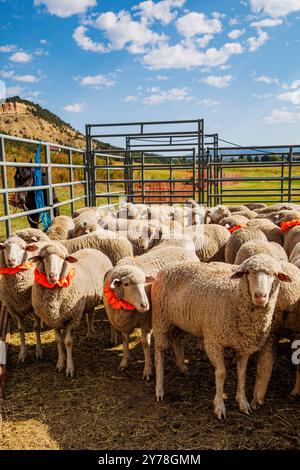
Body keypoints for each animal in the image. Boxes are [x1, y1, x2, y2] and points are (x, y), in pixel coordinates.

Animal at [31, 244, 112, 376]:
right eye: (42, 257)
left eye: (63, 258)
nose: (53, 275)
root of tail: (91, 249)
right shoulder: (54, 320)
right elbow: (59, 341)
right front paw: (60, 364)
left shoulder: (72, 319)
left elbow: (68, 342)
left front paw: (69, 368)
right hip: (89, 300)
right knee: (90, 314)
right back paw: (89, 333)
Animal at [103, 246, 199, 378]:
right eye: (126, 284)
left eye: (145, 282)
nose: (145, 305)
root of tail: (182, 249)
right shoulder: (125, 323)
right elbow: (125, 340)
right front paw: (124, 362)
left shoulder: (146, 323)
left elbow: (145, 344)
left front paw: (147, 369)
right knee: (176, 336)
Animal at [151, 253, 292, 418]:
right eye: (248, 272)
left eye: (274, 274)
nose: (260, 296)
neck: (234, 300)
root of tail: (166, 268)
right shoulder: (213, 342)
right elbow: (221, 373)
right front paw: (219, 406)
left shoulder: (243, 346)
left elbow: (241, 373)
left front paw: (243, 402)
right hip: (160, 319)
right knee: (159, 352)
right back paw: (159, 389)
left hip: (180, 320)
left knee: (176, 337)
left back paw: (182, 367)